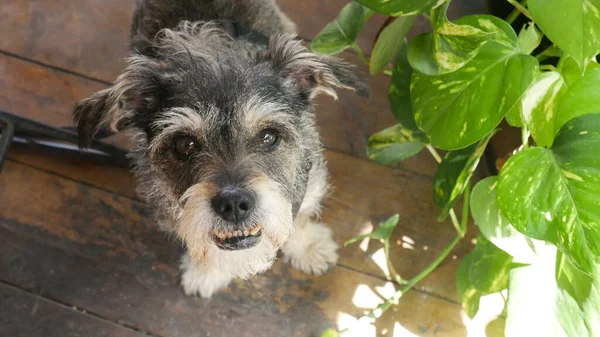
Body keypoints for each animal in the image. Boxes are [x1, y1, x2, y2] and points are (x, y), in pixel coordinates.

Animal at [72, 0, 368, 296]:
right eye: (184, 145)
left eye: (268, 136)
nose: (234, 204)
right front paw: (206, 273)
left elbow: (302, 217)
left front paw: (309, 248)